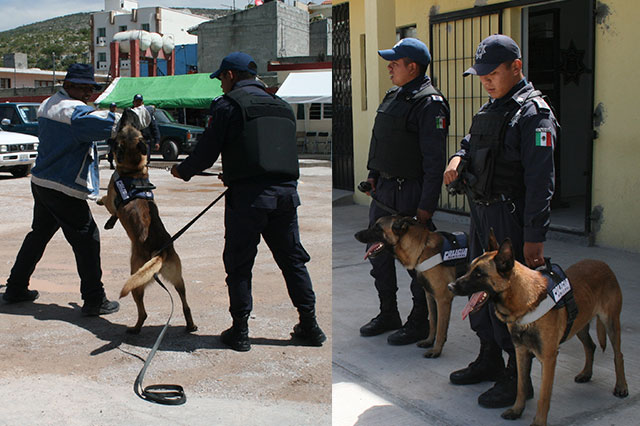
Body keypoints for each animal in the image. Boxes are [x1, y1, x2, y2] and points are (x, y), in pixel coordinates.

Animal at [97, 108, 196, 334]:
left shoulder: (112, 200)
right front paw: (110, 222)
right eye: (132, 125)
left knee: (143, 313)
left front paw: (98, 201)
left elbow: (106, 200)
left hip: (136, 282)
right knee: (185, 304)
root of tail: (160, 253)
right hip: (180, 281)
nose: (126, 110)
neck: (132, 170)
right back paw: (190, 325)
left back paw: (134, 329)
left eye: (124, 126)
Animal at [356, 215, 464, 358]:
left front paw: (436, 351)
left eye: (378, 228)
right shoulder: (430, 295)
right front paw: (429, 341)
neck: (422, 249)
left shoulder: (443, 299)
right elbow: (433, 322)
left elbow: (441, 328)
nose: (355, 235)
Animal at [448, 233, 628, 426]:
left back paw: (621, 386)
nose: (450, 286)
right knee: (590, 346)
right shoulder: (520, 352)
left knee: (618, 355)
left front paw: (539, 421)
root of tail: (603, 264)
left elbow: (544, 397)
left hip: (610, 323)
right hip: (579, 324)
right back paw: (586, 373)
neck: (524, 303)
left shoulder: (548, 358)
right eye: (468, 269)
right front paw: (517, 410)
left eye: (478, 274)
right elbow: (521, 386)